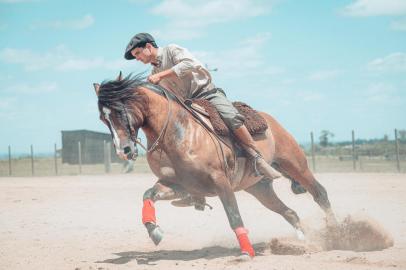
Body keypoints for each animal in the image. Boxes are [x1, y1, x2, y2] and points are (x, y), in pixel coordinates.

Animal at [93, 73, 336, 258]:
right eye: (103, 119)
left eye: (120, 111)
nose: (123, 151)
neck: (176, 132)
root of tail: (271, 121)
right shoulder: (178, 184)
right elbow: (148, 195)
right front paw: (154, 231)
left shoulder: (221, 182)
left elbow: (234, 216)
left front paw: (247, 252)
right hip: (259, 188)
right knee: (290, 213)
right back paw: (304, 243)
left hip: (295, 164)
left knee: (320, 194)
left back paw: (335, 233)